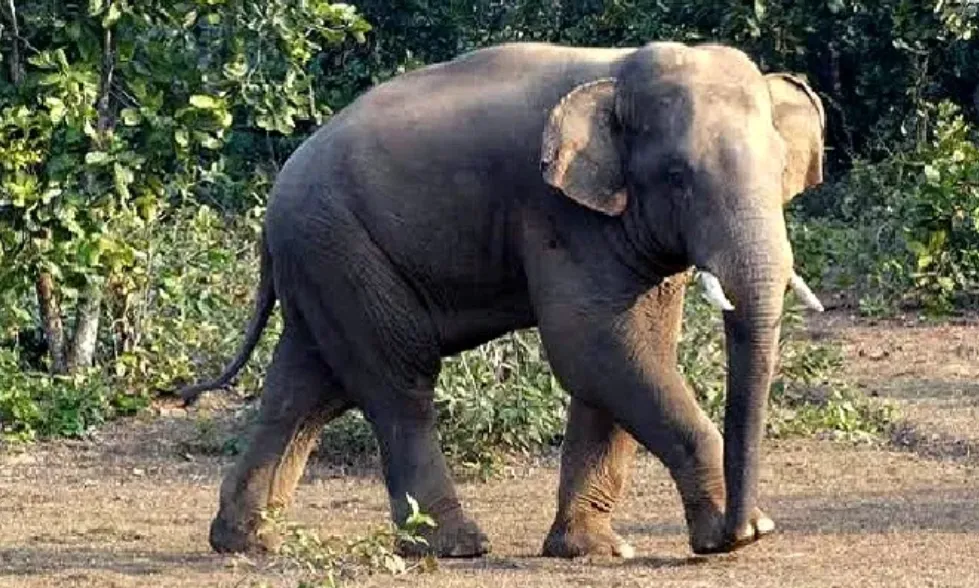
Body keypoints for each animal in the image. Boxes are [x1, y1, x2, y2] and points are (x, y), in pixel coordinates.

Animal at [179, 41, 826, 559]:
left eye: (780, 169)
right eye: (676, 176)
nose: (746, 525)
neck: (616, 75)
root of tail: (274, 203)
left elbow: (620, 357)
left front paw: (593, 550)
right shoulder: (559, 213)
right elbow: (594, 348)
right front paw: (737, 536)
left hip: (323, 258)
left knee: (308, 387)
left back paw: (247, 541)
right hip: (342, 249)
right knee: (397, 382)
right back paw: (454, 546)